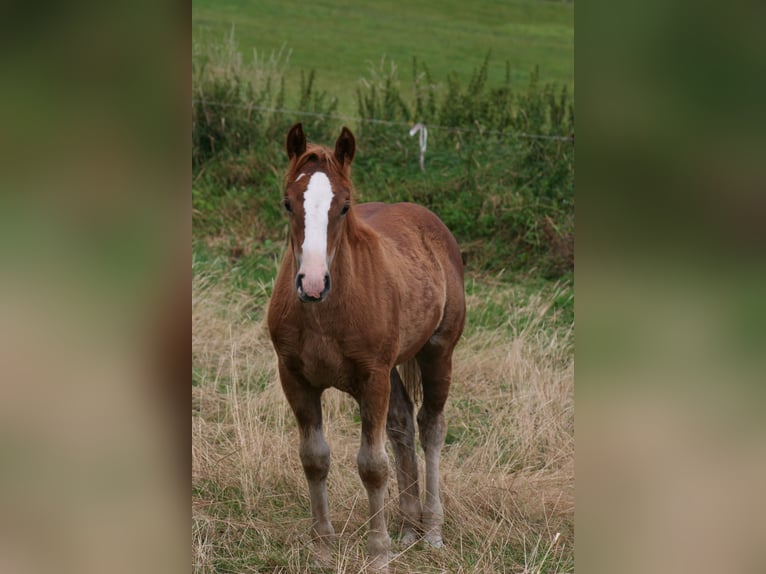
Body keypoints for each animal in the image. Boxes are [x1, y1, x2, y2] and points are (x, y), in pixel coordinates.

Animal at [267, 123, 466, 571]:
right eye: (288, 203)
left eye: (344, 206)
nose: (312, 284)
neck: (324, 315)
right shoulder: (295, 378)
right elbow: (314, 458)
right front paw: (323, 549)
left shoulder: (372, 377)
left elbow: (372, 466)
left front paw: (378, 555)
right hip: (392, 368)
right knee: (403, 424)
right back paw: (408, 527)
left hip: (437, 352)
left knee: (431, 426)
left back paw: (432, 530)